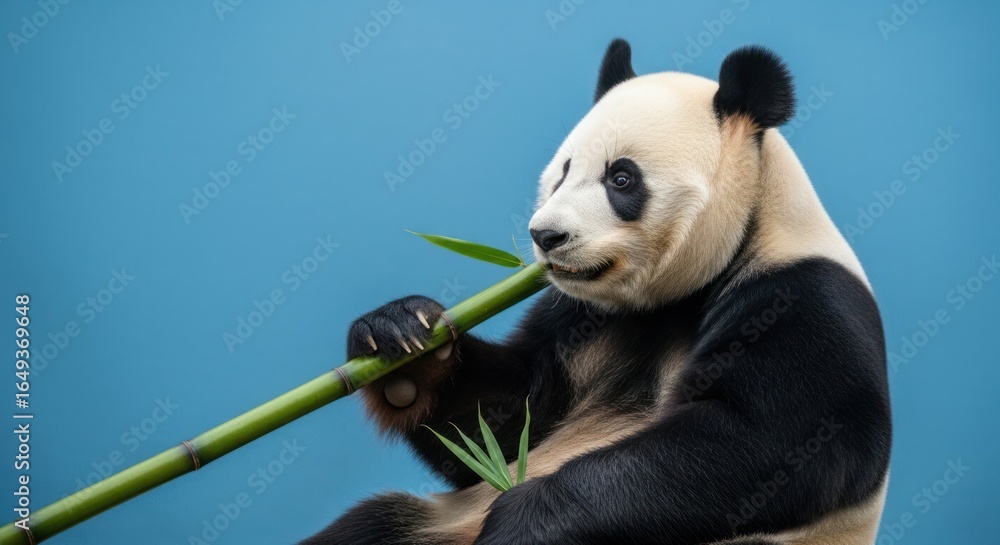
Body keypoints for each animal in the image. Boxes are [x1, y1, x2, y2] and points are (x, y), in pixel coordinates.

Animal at [302, 39, 891, 545]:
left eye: (621, 179)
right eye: (563, 172)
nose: (546, 236)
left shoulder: (800, 299)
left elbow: (766, 445)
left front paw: (523, 520)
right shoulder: (580, 313)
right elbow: (505, 422)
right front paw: (402, 337)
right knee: (373, 525)